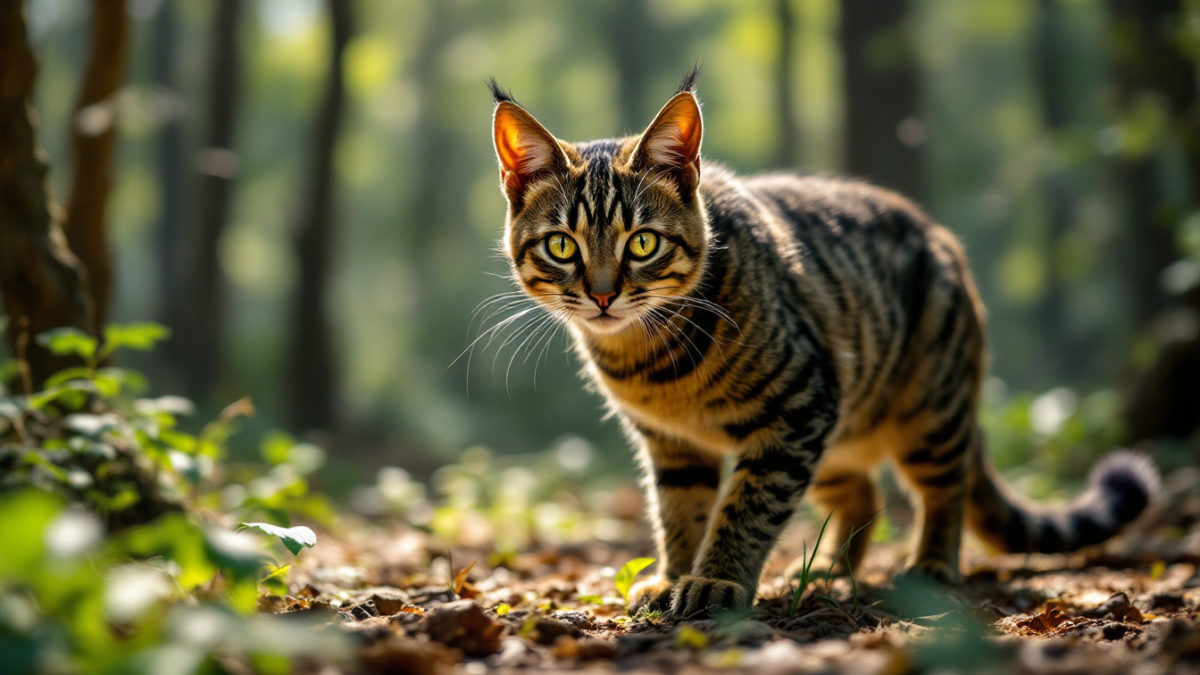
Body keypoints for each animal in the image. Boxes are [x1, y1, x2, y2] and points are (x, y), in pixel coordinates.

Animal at [482, 70, 1156, 619]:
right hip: (840, 427)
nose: (601, 295)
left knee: (947, 486)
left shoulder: (795, 408)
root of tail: (942, 238)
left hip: (926, 409)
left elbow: (746, 508)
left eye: (642, 242)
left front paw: (717, 582)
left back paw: (932, 565)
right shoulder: (674, 446)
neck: (650, 363)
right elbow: (679, 514)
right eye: (562, 245)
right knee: (862, 494)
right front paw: (674, 577)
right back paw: (832, 572)